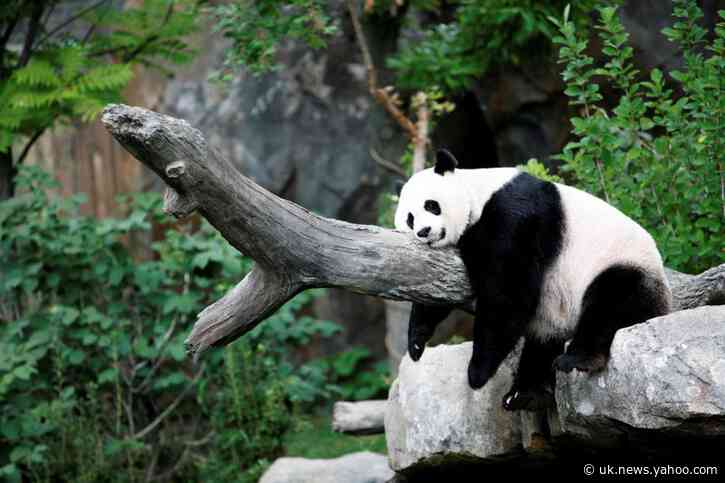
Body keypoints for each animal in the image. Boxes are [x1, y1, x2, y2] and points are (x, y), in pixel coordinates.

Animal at [394, 149, 672, 411]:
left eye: (431, 205)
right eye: (410, 218)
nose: (424, 231)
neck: (477, 194)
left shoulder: (514, 216)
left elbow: (508, 292)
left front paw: (477, 373)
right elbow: (438, 287)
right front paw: (416, 342)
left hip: (621, 265)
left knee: (610, 303)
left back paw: (577, 360)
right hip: (554, 314)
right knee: (542, 343)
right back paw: (526, 394)